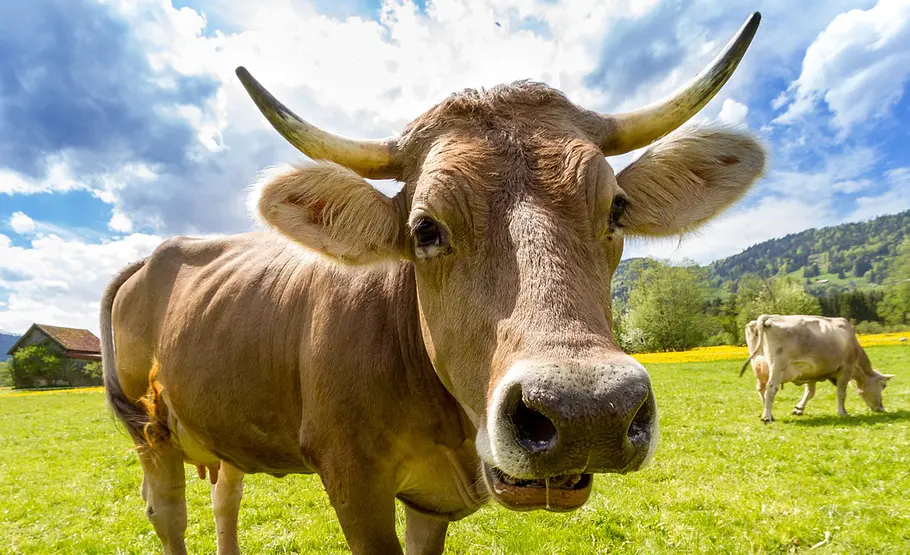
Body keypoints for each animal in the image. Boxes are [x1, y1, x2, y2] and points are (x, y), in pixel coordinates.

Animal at [102, 13, 766, 555]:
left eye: (617, 209)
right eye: (425, 228)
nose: (586, 411)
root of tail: (156, 254)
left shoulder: (430, 502)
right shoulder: (352, 479)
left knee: (225, 499)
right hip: (150, 429)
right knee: (168, 514)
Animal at [740, 314, 894, 423]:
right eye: (883, 385)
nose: (881, 408)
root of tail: (768, 317)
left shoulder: (811, 372)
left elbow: (810, 392)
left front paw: (799, 409)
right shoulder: (846, 369)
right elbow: (841, 393)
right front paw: (842, 412)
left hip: (759, 366)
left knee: (761, 389)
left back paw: (769, 414)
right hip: (777, 367)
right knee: (771, 388)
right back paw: (767, 417)